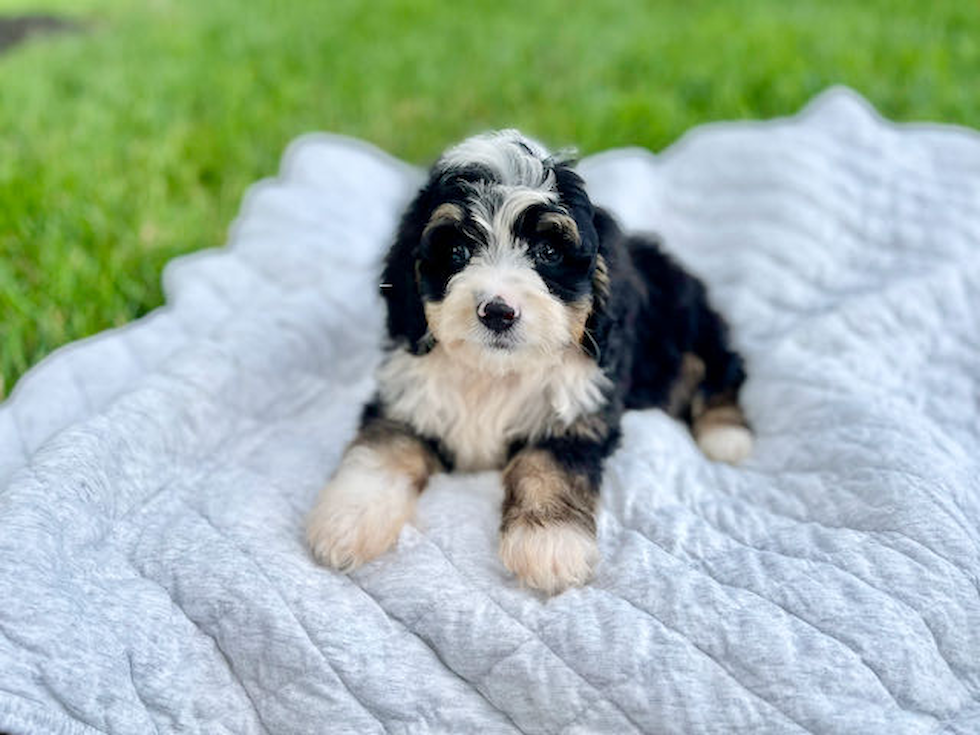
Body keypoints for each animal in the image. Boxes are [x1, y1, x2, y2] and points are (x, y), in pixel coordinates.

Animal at [310, 129, 756, 596]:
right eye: (456, 251)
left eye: (547, 251)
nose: (497, 312)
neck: (495, 371)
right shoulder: (406, 397)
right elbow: (382, 451)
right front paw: (347, 519)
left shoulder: (577, 413)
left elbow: (545, 466)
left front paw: (550, 546)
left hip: (684, 335)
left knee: (719, 368)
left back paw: (726, 434)